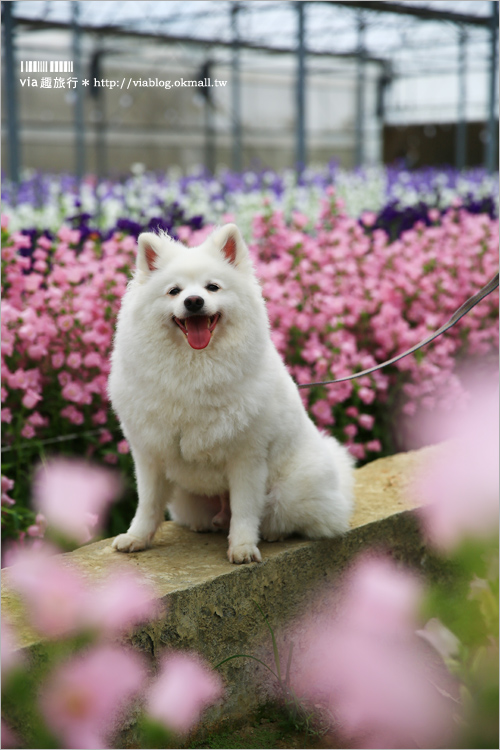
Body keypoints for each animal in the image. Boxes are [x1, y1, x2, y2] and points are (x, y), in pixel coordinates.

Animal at [108, 223, 354, 564]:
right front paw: (136, 538)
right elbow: (148, 505)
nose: (194, 301)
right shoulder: (150, 453)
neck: (194, 366)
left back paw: (274, 532)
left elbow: (245, 510)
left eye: (212, 288)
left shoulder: (247, 457)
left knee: (292, 518)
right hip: (191, 501)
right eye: (174, 291)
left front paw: (242, 547)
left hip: (288, 491)